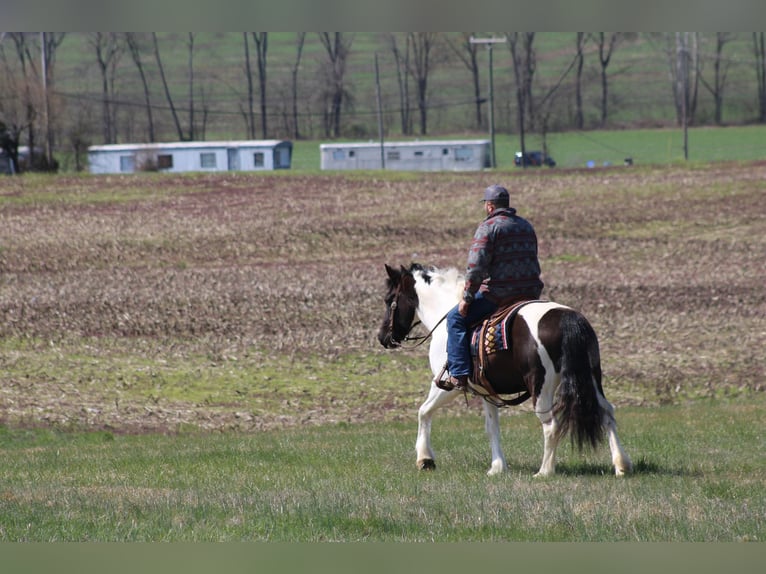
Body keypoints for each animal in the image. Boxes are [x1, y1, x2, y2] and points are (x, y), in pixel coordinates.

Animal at [378, 264, 636, 480]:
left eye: (389, 300)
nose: (383, 337)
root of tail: (567, 318)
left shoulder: (447, 385)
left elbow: (423, 412)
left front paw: (425, 459)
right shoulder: (485, 391)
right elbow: (492, 427)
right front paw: (497, 467)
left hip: (540, 386)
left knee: (551, 425)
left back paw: (544, 471)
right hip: (591, 378)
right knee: (607, 413)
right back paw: (621, 465)